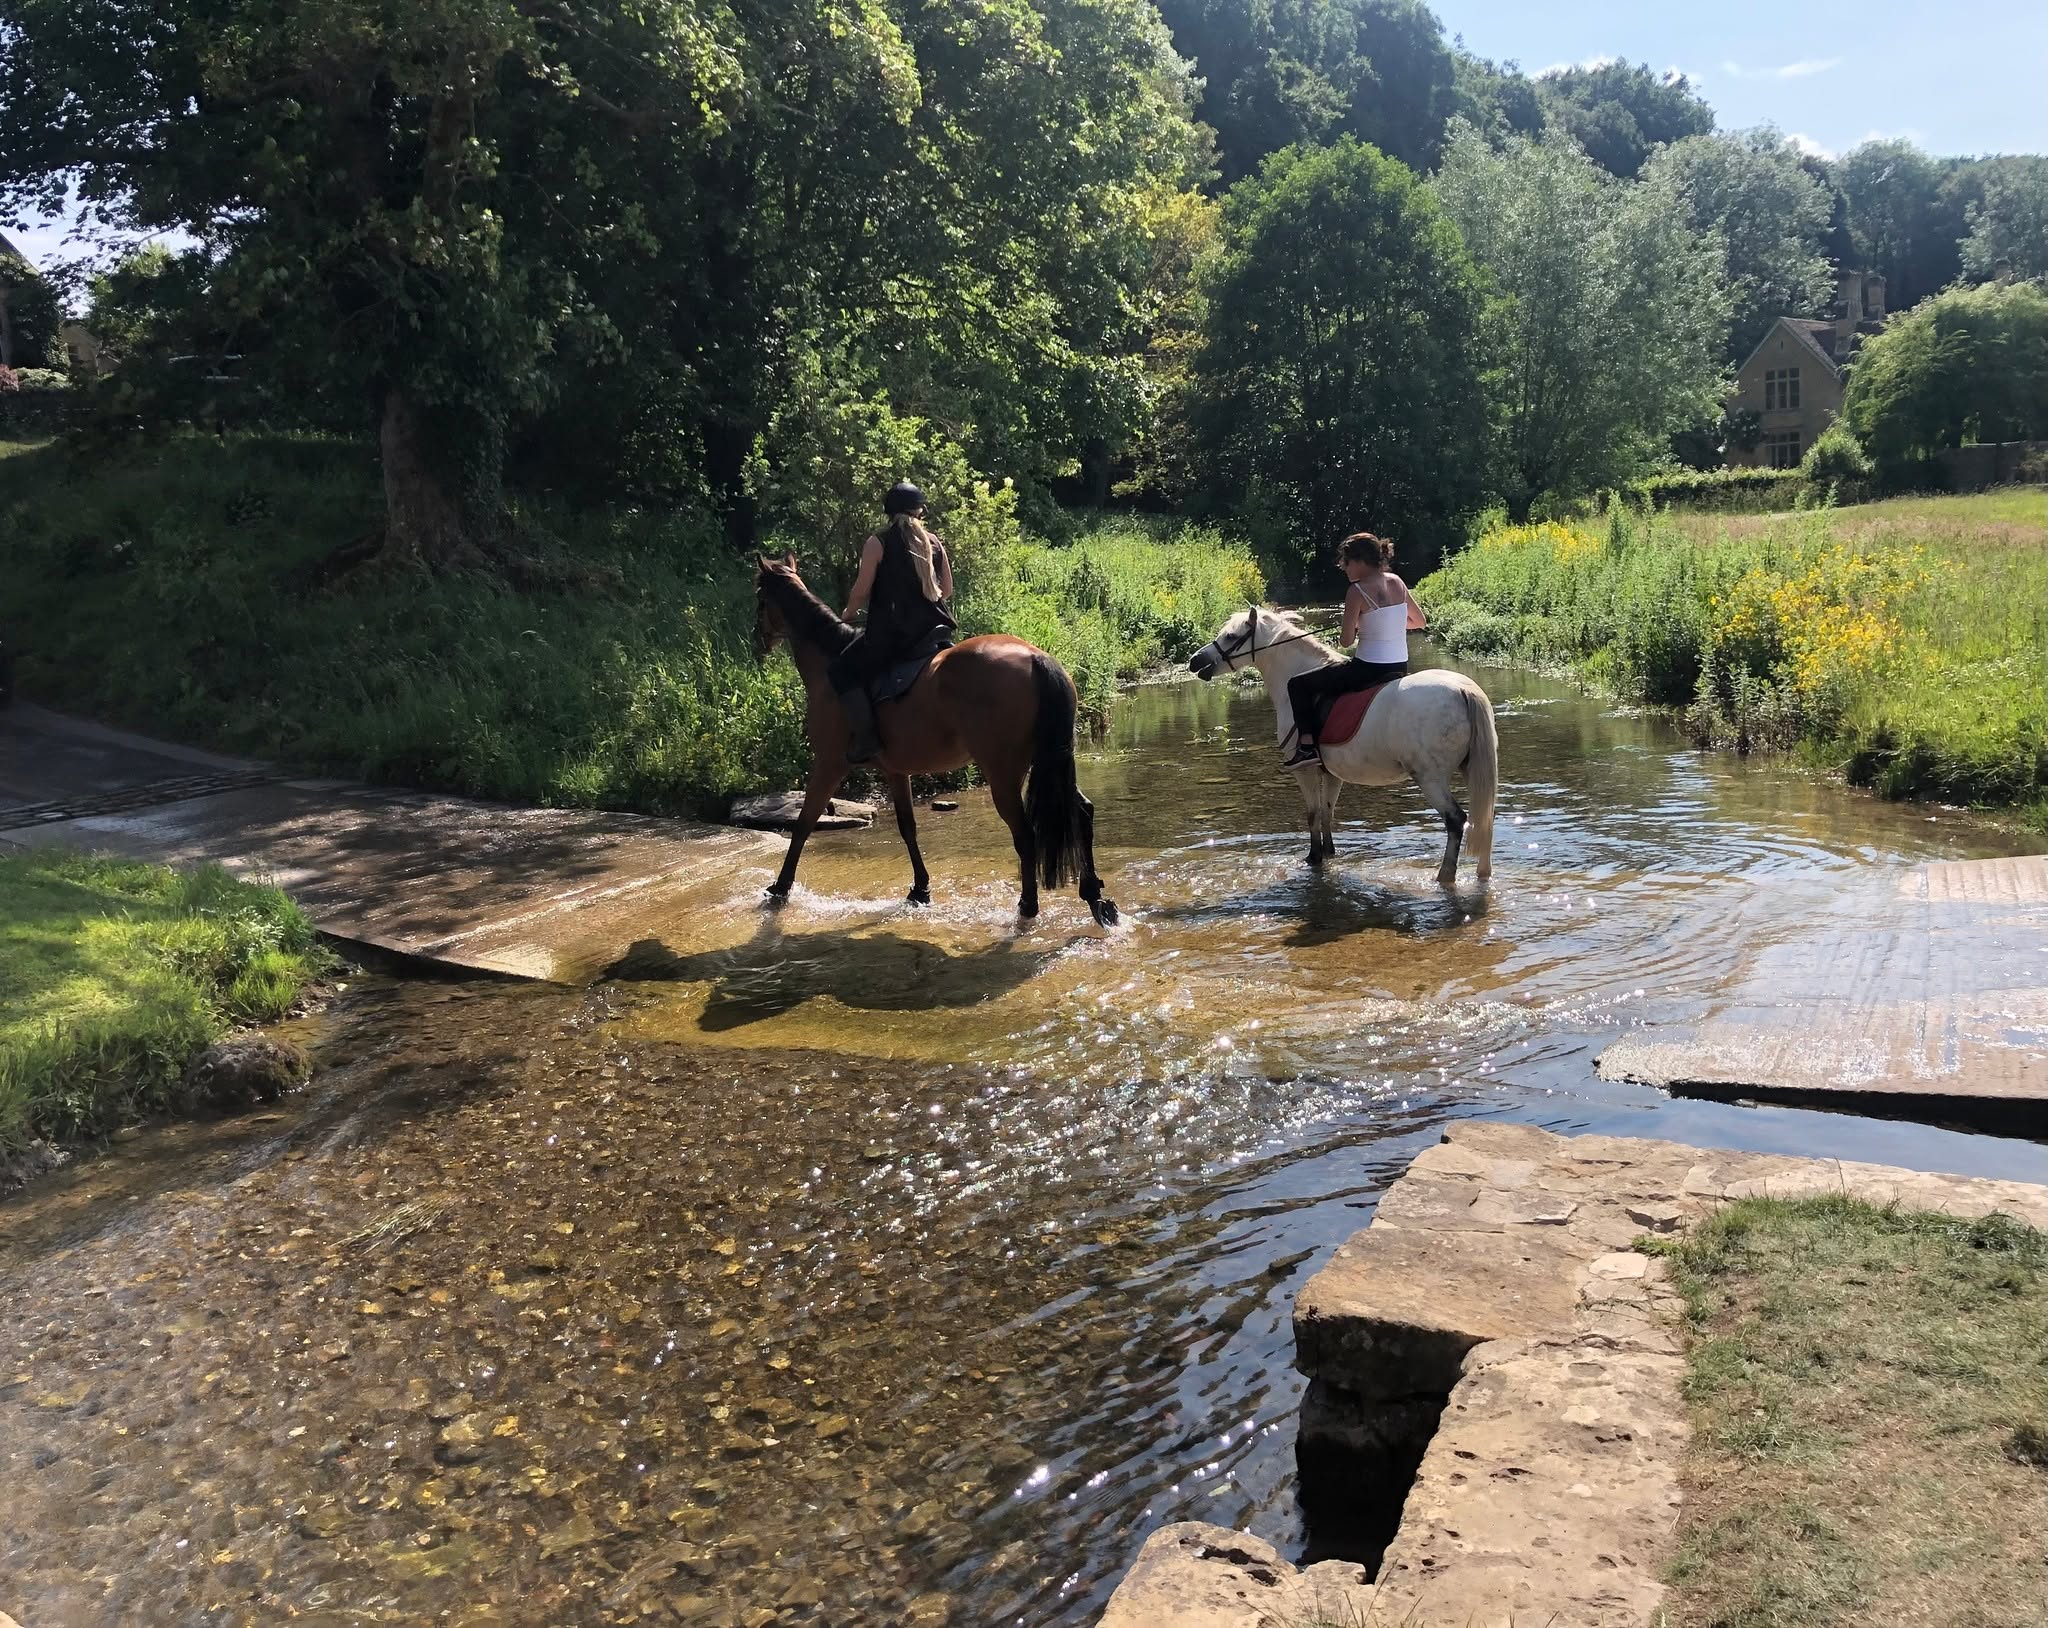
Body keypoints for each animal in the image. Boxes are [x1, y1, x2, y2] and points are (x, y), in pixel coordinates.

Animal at [751, 554, 1119, 926]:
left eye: (761, 599)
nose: (757, 644)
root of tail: (1035, 657)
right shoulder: (895, 771)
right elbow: (907, 827)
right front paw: (920, 889)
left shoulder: (828, 764)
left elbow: (803, 824)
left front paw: (780, 888)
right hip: (1047, 760)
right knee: (1080, 812)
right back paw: (1096, 898)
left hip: (1004, 772)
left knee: (1025, 835)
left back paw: (1028, 905)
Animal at [1188, 606, 1497, 888]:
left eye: (1230, 636)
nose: (1194, 661)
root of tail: (1463, 689)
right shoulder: (1332, 773)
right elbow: (1327, 814)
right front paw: (1329, 854)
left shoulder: (1305, 770)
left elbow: (1313, 814)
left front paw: (1313, 858)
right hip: (1470, 769)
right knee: (1485, 818)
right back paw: (1482, 874)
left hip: (1430, 778)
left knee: (1455, 820)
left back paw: (1444, 876)